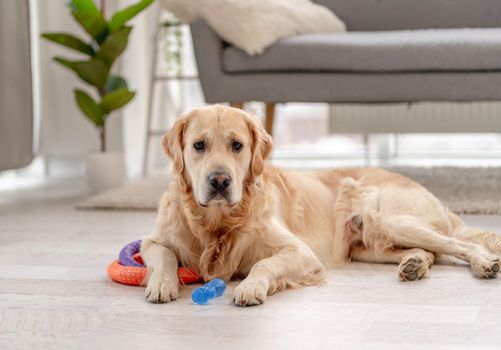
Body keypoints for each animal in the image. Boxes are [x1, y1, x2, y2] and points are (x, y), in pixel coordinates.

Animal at [140, 104, 500, 306]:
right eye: (199, 145)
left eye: (237, 145)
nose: (219, 181)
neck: (217, 222)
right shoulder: (151, 241)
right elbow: (165, 255)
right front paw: (161, 283)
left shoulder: (299, 252)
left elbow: (263, 264)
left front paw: (251, 287)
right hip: (369, 246)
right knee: (431, 251)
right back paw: (414, 264)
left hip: (389, 219)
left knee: (458, 244)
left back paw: (484, 263)